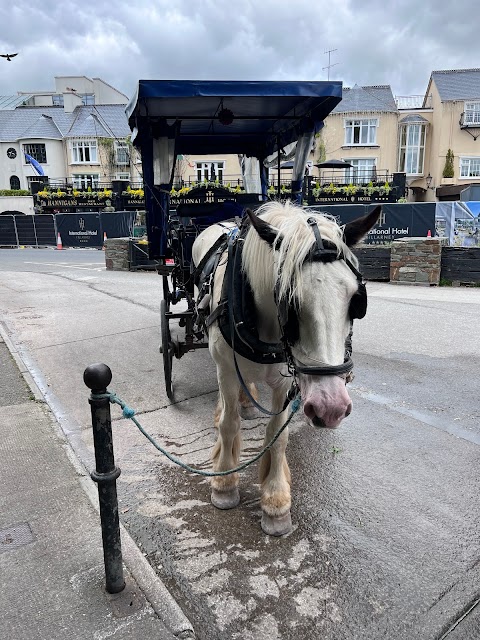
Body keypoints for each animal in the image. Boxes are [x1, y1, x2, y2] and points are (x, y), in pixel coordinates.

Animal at [191, 201, 378, 536]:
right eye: (289, 302)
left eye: (355, 301)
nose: (331, 407)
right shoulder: (226, 369)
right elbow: (228, 425)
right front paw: (224, 483)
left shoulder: (282, 381)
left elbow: (278, 435)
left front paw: (275, 501)